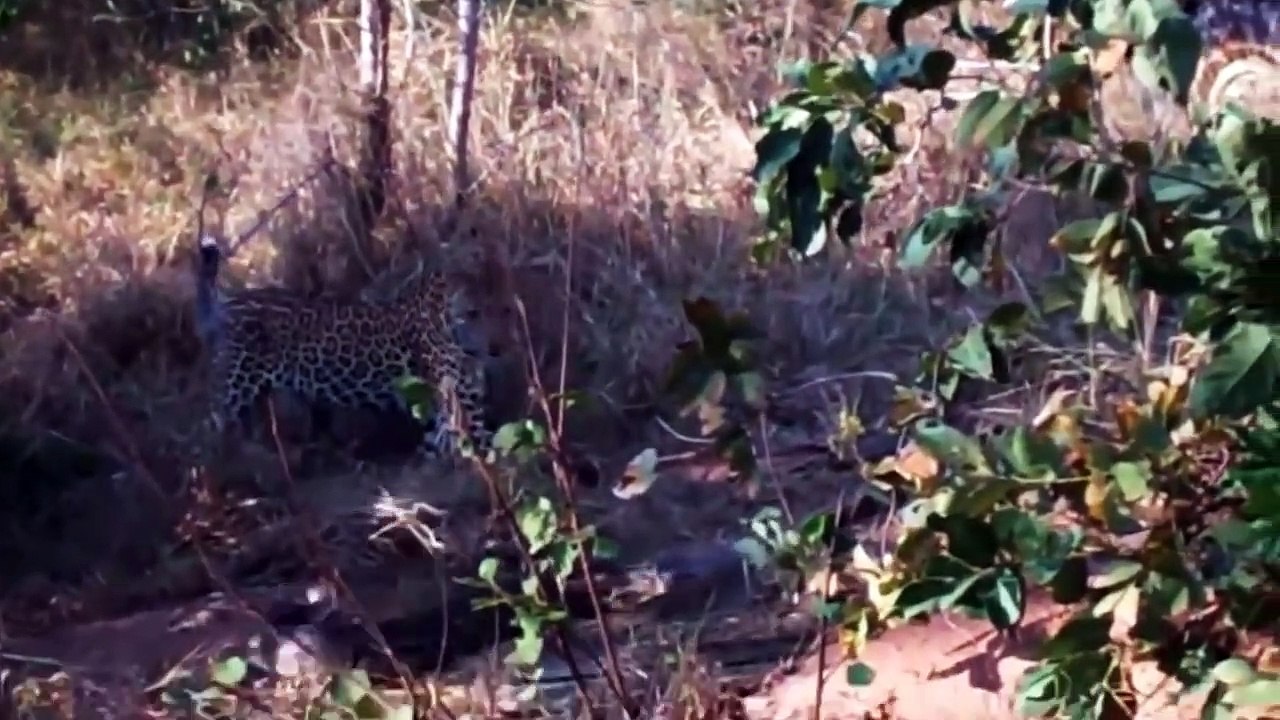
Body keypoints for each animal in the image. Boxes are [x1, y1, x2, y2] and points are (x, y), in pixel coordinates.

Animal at [193, 232, 495, 461]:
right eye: (467, 270)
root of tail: (228, 303)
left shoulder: (466, 383)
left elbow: (469, 426)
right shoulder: (445, 382)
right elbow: (460, 425)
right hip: (233, 385)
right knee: (206, 430)